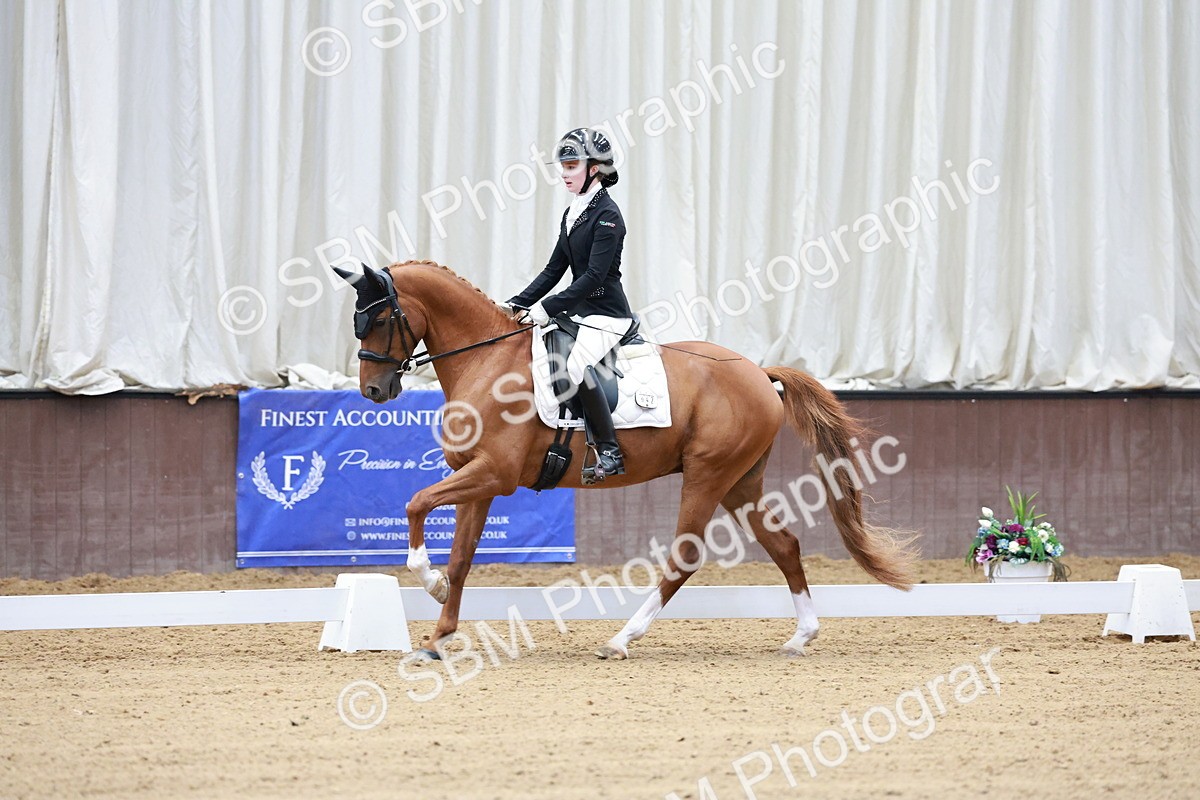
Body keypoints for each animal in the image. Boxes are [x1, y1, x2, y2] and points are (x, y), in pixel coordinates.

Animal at [332, 260, 916, 659]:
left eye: (379, 318)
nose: (373, 391)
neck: (487, 360)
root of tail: (758, 371)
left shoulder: (492, 476)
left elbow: (415, 503)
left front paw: (426, 583)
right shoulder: (477, 480)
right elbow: (461, 558)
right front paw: (437, 634)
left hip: (708, 475)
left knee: (685, 557)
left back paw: (621, 638)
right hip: (739, 483)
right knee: (784, 544)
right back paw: (800, 636)